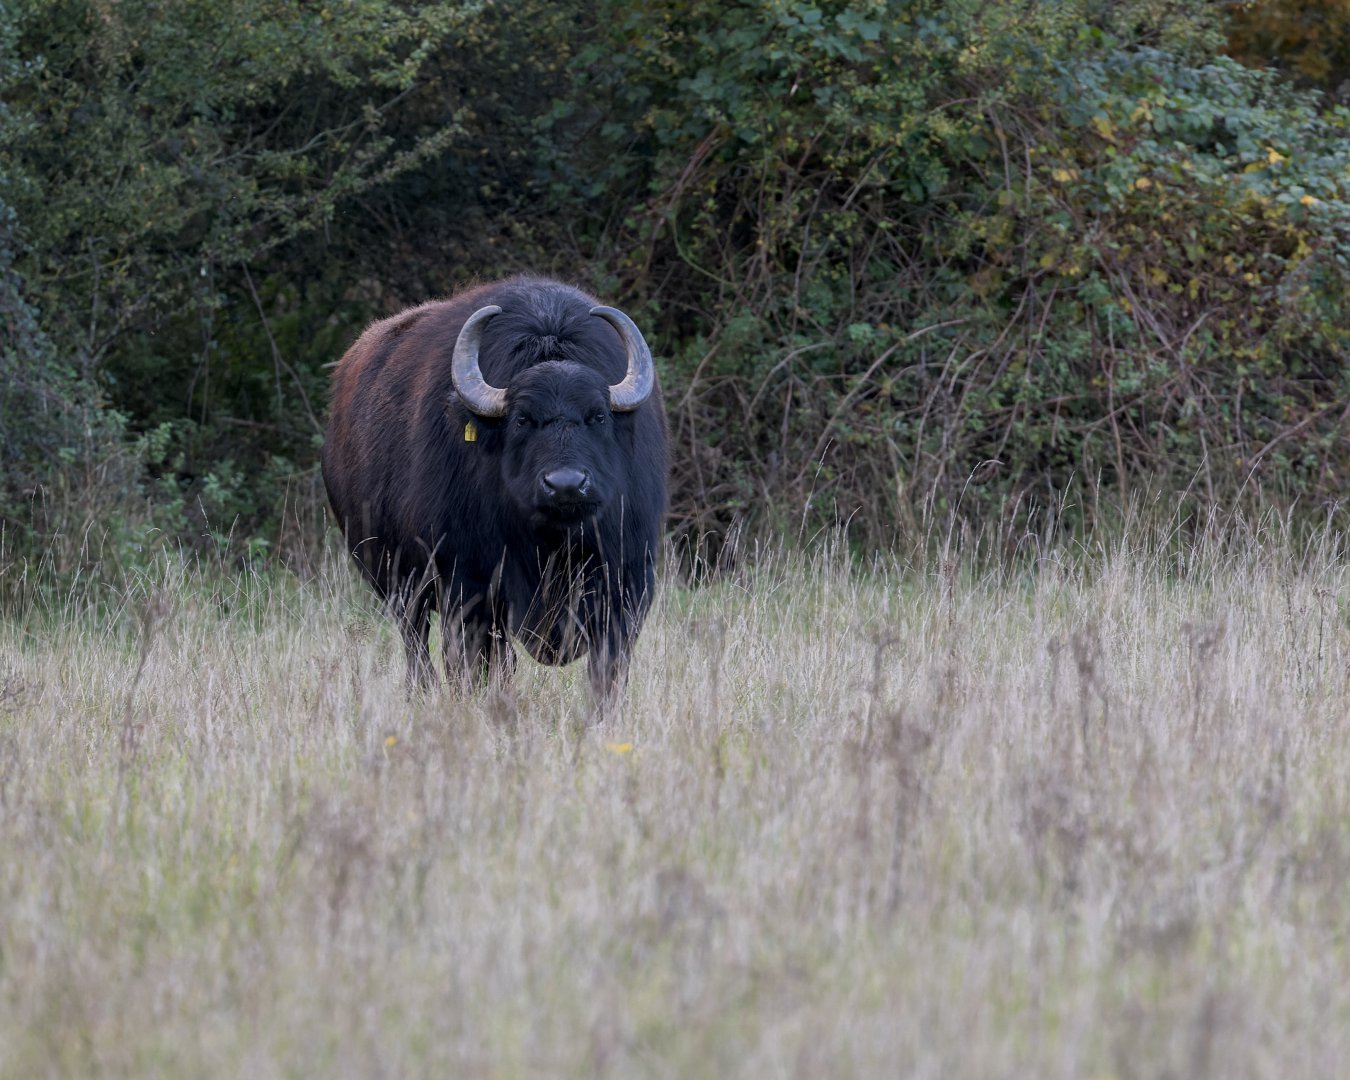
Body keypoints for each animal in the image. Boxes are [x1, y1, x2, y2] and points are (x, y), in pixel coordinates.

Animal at [321, 276, 668, 709]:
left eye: (598, 416)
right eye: (522, 419)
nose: (566, 484)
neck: (551, 543)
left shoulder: (629, 582)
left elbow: (608, 669)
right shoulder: (466, 585)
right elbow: (471, 666)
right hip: (395, 578)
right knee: (417, 640)